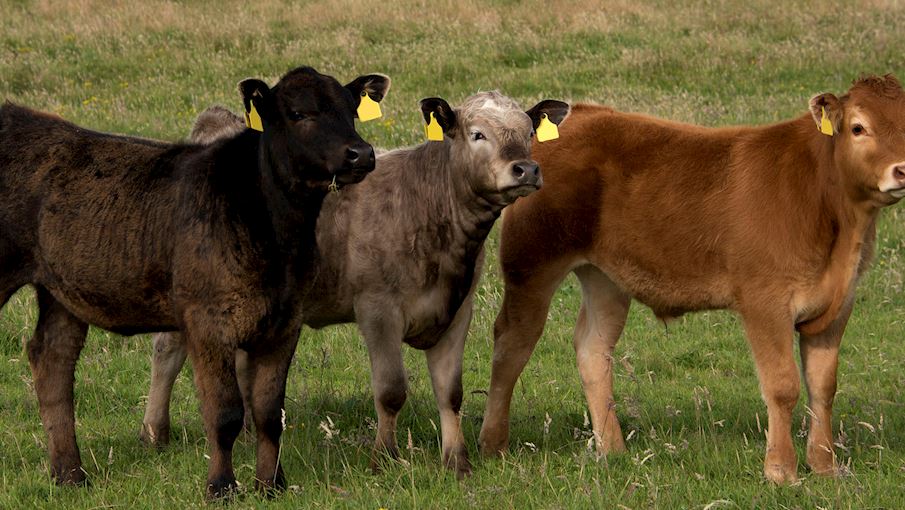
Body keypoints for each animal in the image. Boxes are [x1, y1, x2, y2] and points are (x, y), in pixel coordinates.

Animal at [0, 66, 390, 498]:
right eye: (299, 114)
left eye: (352, 111)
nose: (361, 153)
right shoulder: (208, 320)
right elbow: (225, 412)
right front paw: (221, 486)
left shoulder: (286, 320)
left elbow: (270, 412)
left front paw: (271, 484)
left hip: (61, 292)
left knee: (52, 359)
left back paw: (70, 474)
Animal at [139, 92, 570, 478]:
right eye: (478, 134)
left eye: (529, 133)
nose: (526, 169)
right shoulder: (377, 307)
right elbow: (391, 390)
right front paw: (385, 459)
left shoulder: (457, 309)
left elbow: (451, 393)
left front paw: (457, 462)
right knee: (167, 350)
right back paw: (154, 433)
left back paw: (245, 435)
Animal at [477, 75, 905, 483]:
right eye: (858, 127)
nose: (901, 169)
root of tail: (581, 114)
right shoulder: (765, 302)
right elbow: (783, 386)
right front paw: (782, 471)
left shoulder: (838, 305)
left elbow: (823, 387)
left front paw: (826, 466)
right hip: (532, 264)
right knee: (512, 344)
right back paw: (493, 443)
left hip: (604, 278)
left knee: (592, 347)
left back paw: (611, 449)